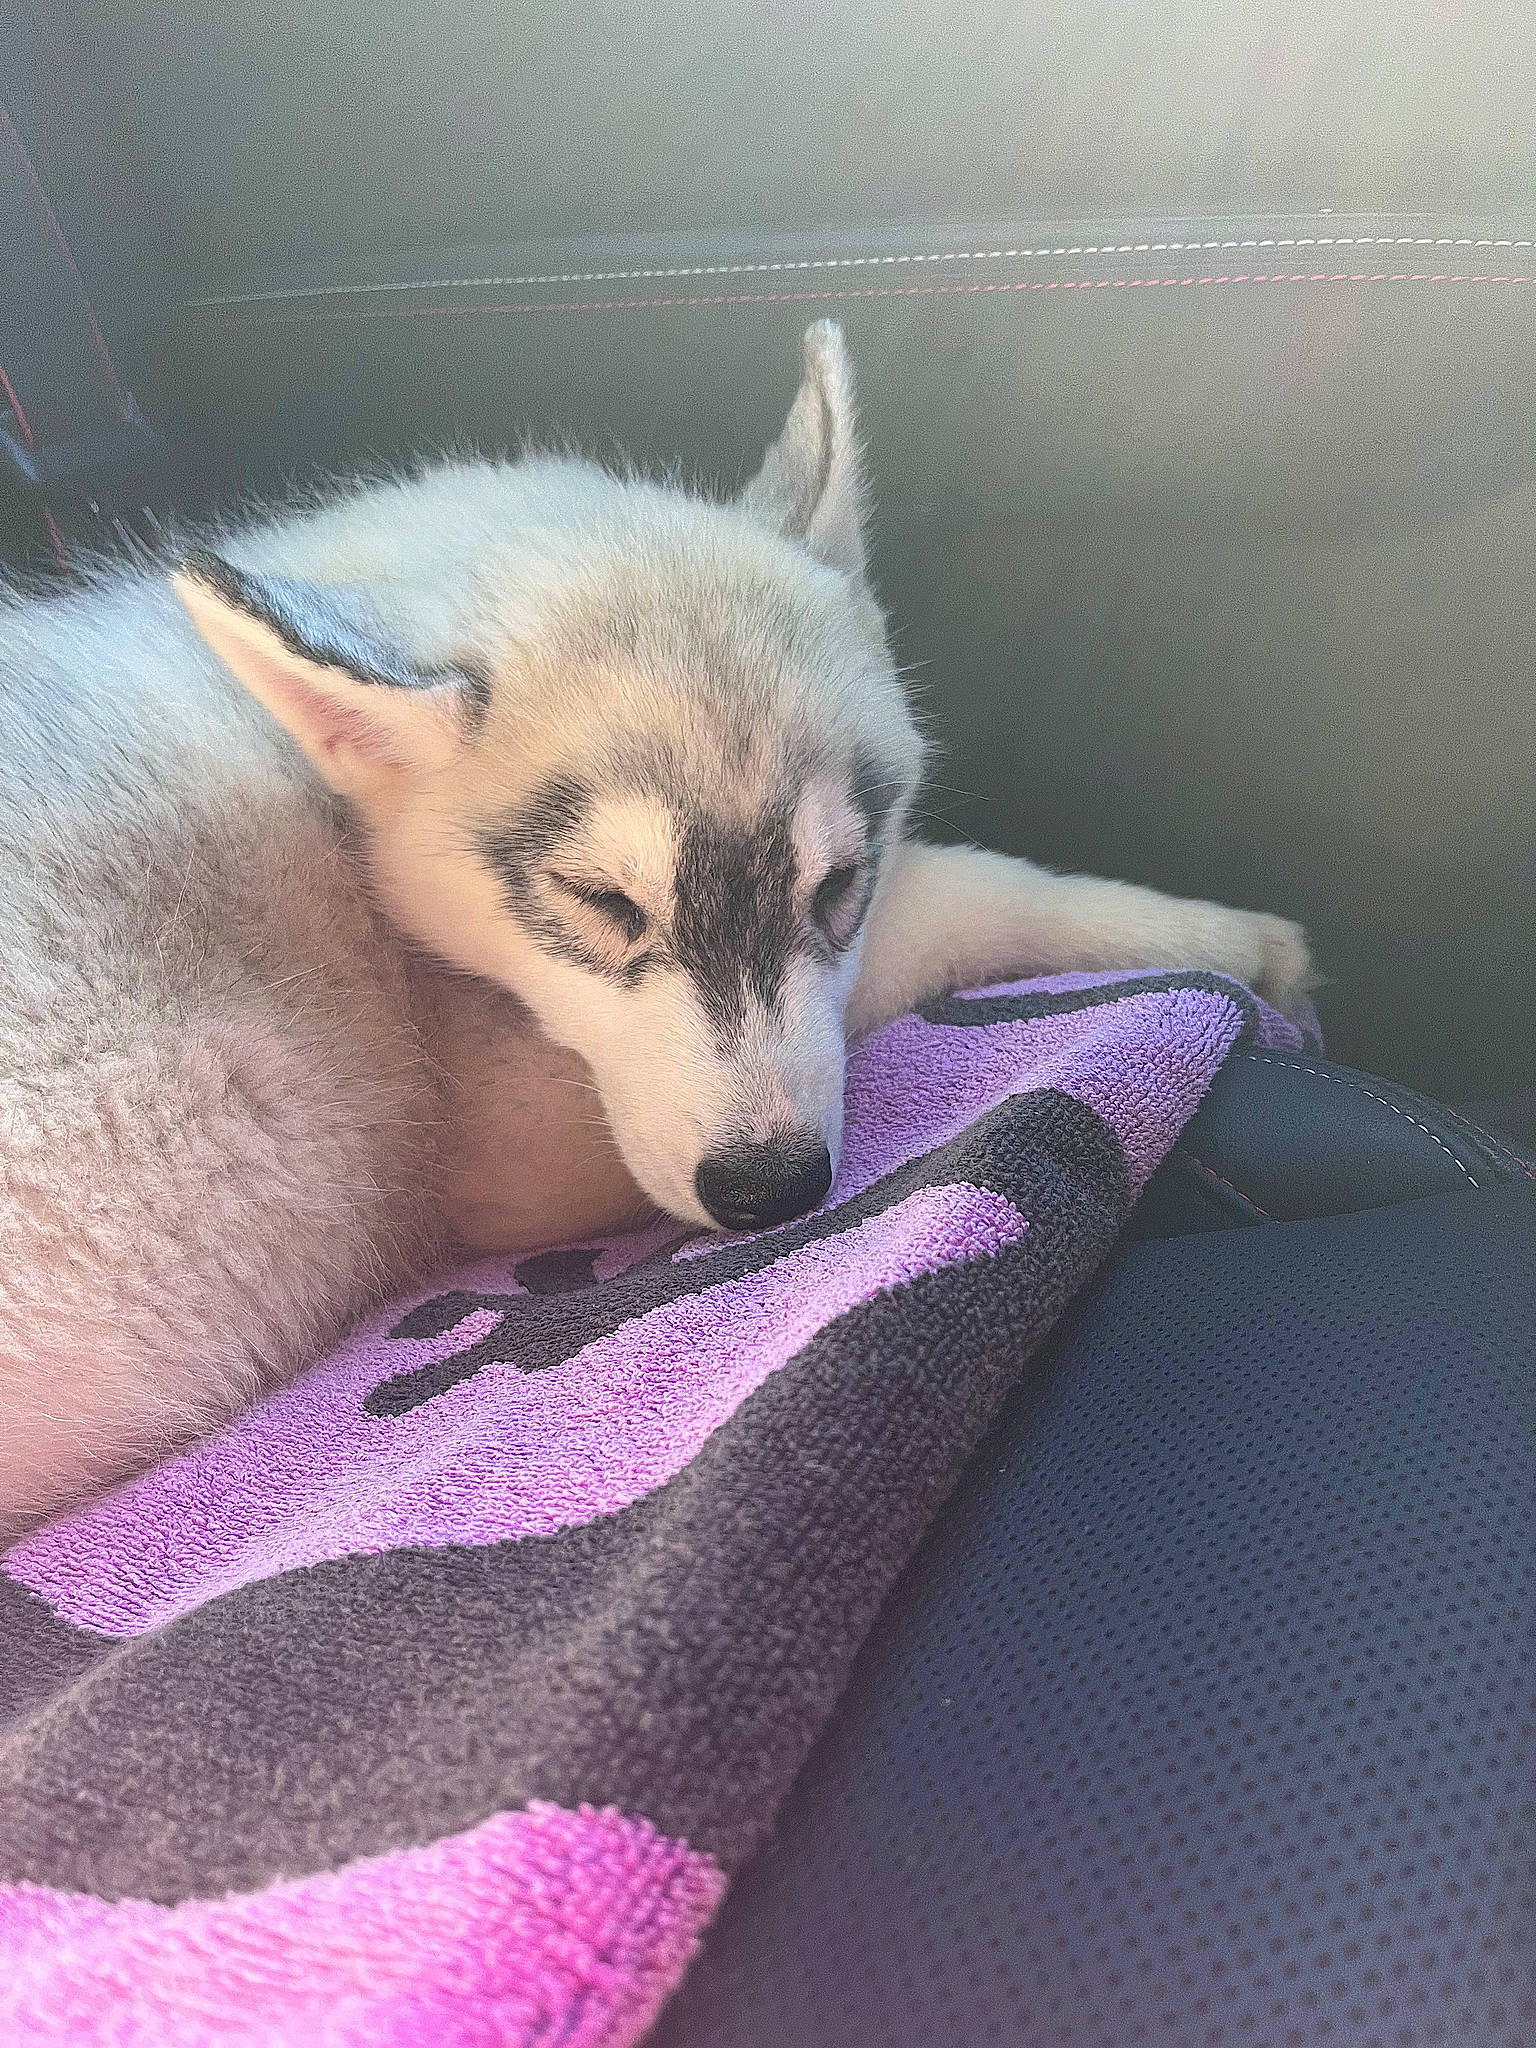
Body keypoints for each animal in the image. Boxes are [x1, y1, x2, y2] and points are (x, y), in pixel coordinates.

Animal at [0, 320, 1312, 1536]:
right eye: (604, 900)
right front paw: (1221, 935)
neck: (329, 808)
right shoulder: (499, 1141)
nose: (771, 1191)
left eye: (834, 882)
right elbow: (949, 900)